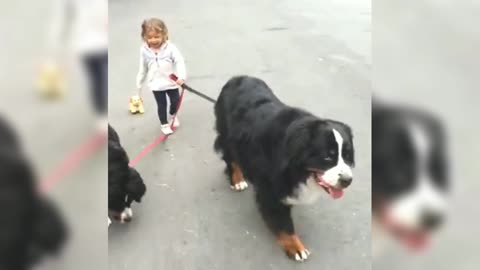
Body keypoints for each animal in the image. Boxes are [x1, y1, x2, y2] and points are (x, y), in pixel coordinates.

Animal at [216, 76, 354, 262]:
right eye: (327, 157)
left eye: (347, 155)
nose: (347, 180)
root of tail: (237, 77)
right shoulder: (271, 188)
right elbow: (283, 222)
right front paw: (296, 247)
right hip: (227, 135)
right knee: (231, 159)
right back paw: (237, 180)